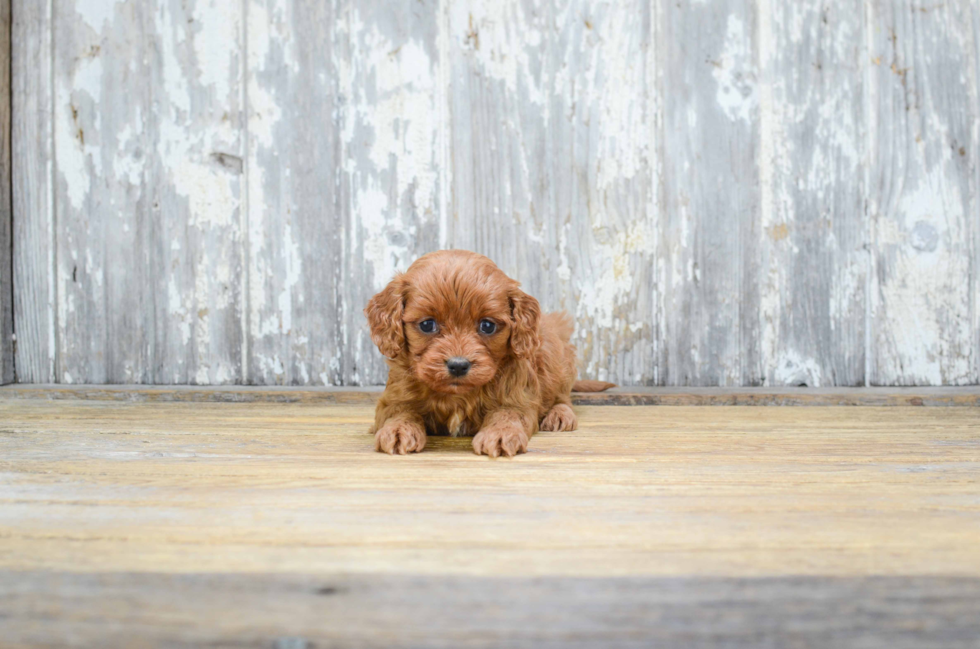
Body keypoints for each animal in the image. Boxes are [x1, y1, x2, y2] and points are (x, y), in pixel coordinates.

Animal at [366, 248, 612, 456]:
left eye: (487, 326)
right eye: (427, 325)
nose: (458, 365)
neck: (458, 395)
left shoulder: (516, 398)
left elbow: (507, 414)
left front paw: (501, 434)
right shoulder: (394, 397)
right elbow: (400, 412)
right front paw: (398, 430)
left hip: (556, 359)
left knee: (563, 397)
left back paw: (560, 415)